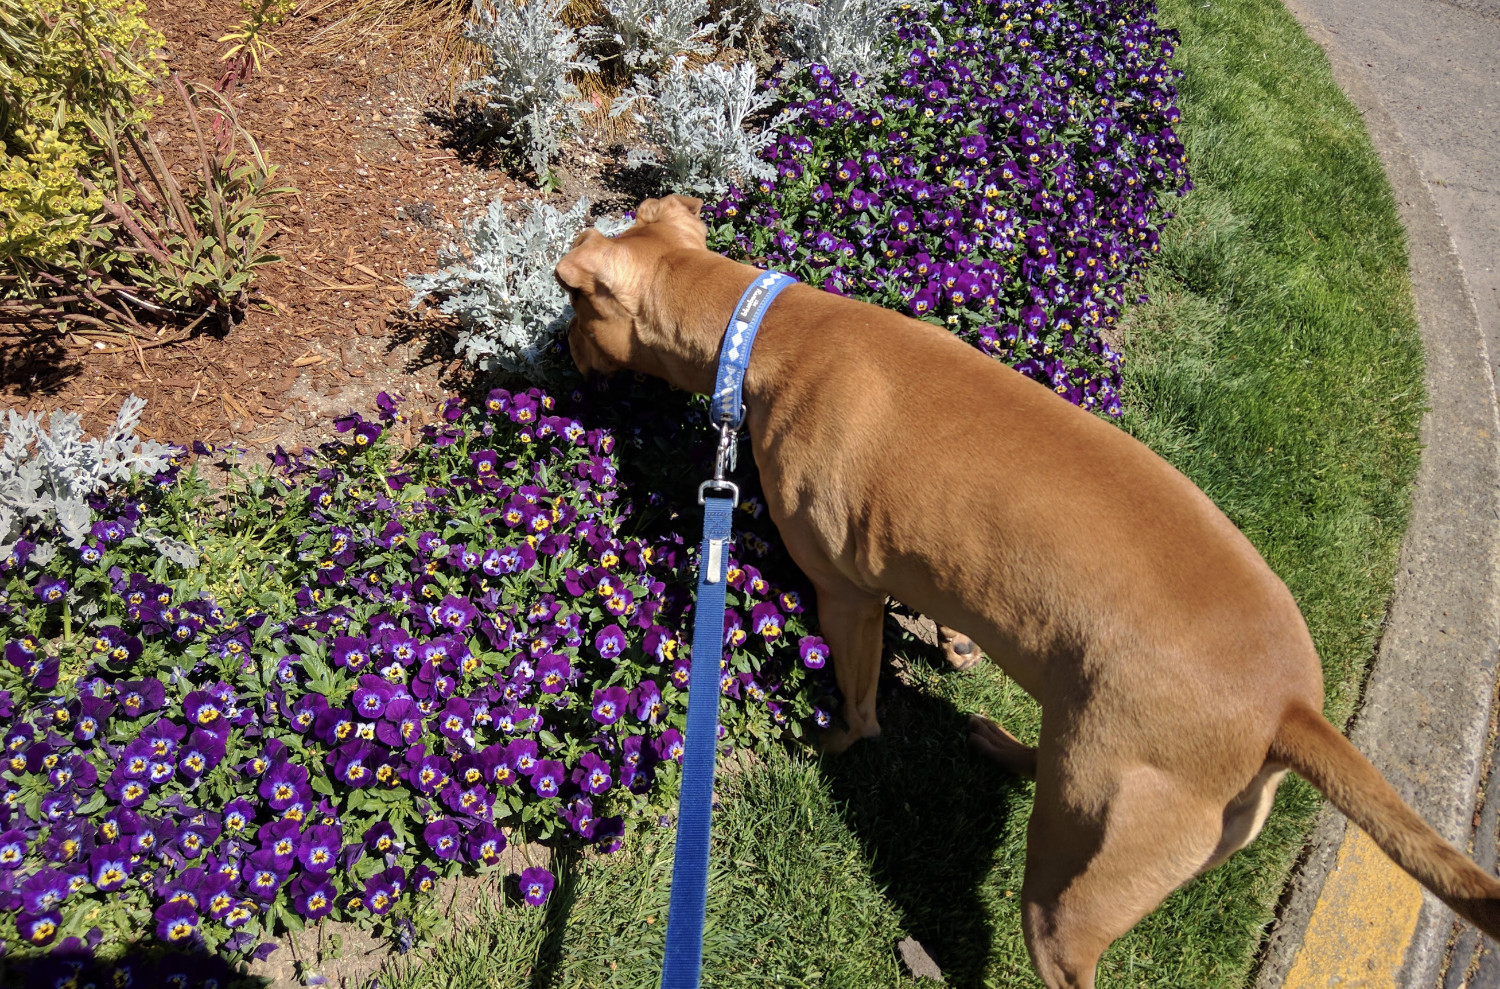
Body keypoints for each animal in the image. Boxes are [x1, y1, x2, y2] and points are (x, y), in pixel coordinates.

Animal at [555, 195, 1500, 989]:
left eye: (571, 309)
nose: (558, 364)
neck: (770, 323)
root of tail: (1291, 709)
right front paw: (954, 648)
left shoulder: (844, 590)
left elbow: (858, 701)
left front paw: (831, 739)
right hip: (1084, 754)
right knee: (1049, 761)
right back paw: (1001, 742)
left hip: (1072, 884)